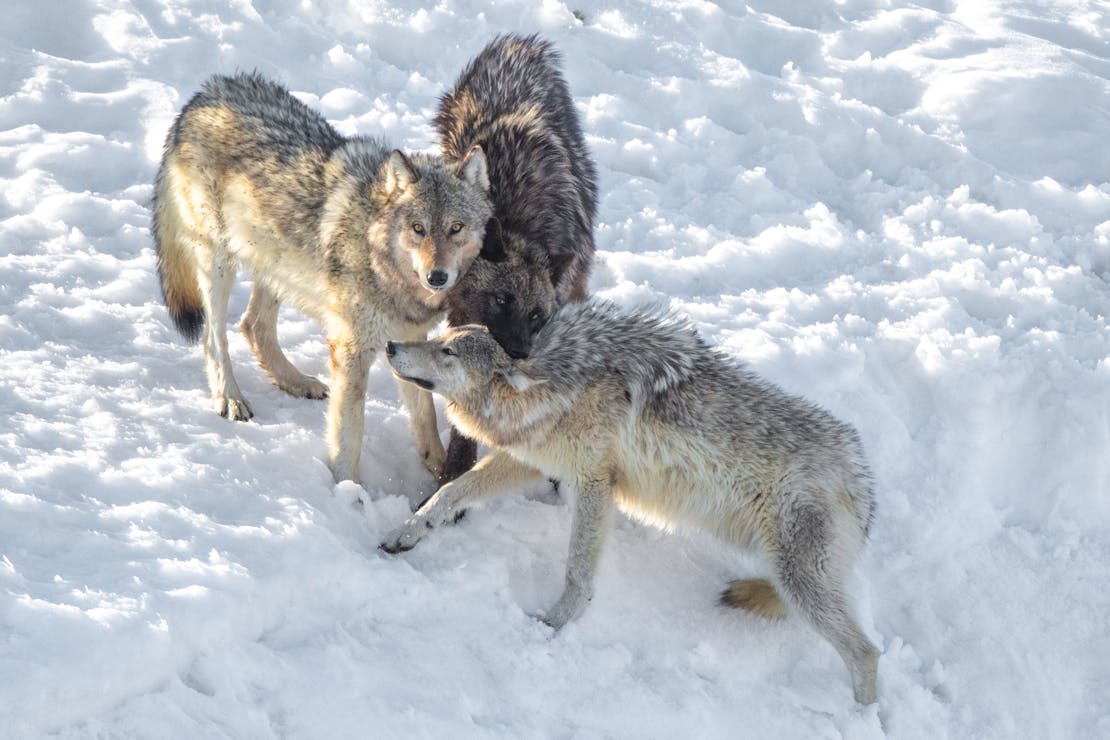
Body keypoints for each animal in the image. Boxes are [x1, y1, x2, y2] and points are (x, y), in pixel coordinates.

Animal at [152, 72, 491, 483]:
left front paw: (441, 470)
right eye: (418, 229)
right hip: (218, 262)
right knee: (213, 336)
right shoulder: (350, 351)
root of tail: (205, 93)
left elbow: (425, 416)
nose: (437, 276)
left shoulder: (408, 339)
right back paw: (229, 398)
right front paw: (349, 489)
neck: (384, 266)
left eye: (456, 228)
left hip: (274, 262)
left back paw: (295, 382)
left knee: (252, 325)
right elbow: (349, 436)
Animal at [381, 300, 880, 704]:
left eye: (447, 353)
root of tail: (861, 480)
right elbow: (449, 492)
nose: (389, 345)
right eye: (439, 339)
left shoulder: (595, 483)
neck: (554, 393)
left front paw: (555, 623)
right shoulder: (534, 461)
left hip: (801, 582)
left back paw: (862, 716)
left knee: (867, 652)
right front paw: (407, 533)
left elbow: (577, 572)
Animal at [433, 34, 598, 484]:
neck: (522, 223)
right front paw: (455, 468)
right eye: (501, 300)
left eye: (537, 315)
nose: (522, 353)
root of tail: (519, 43)